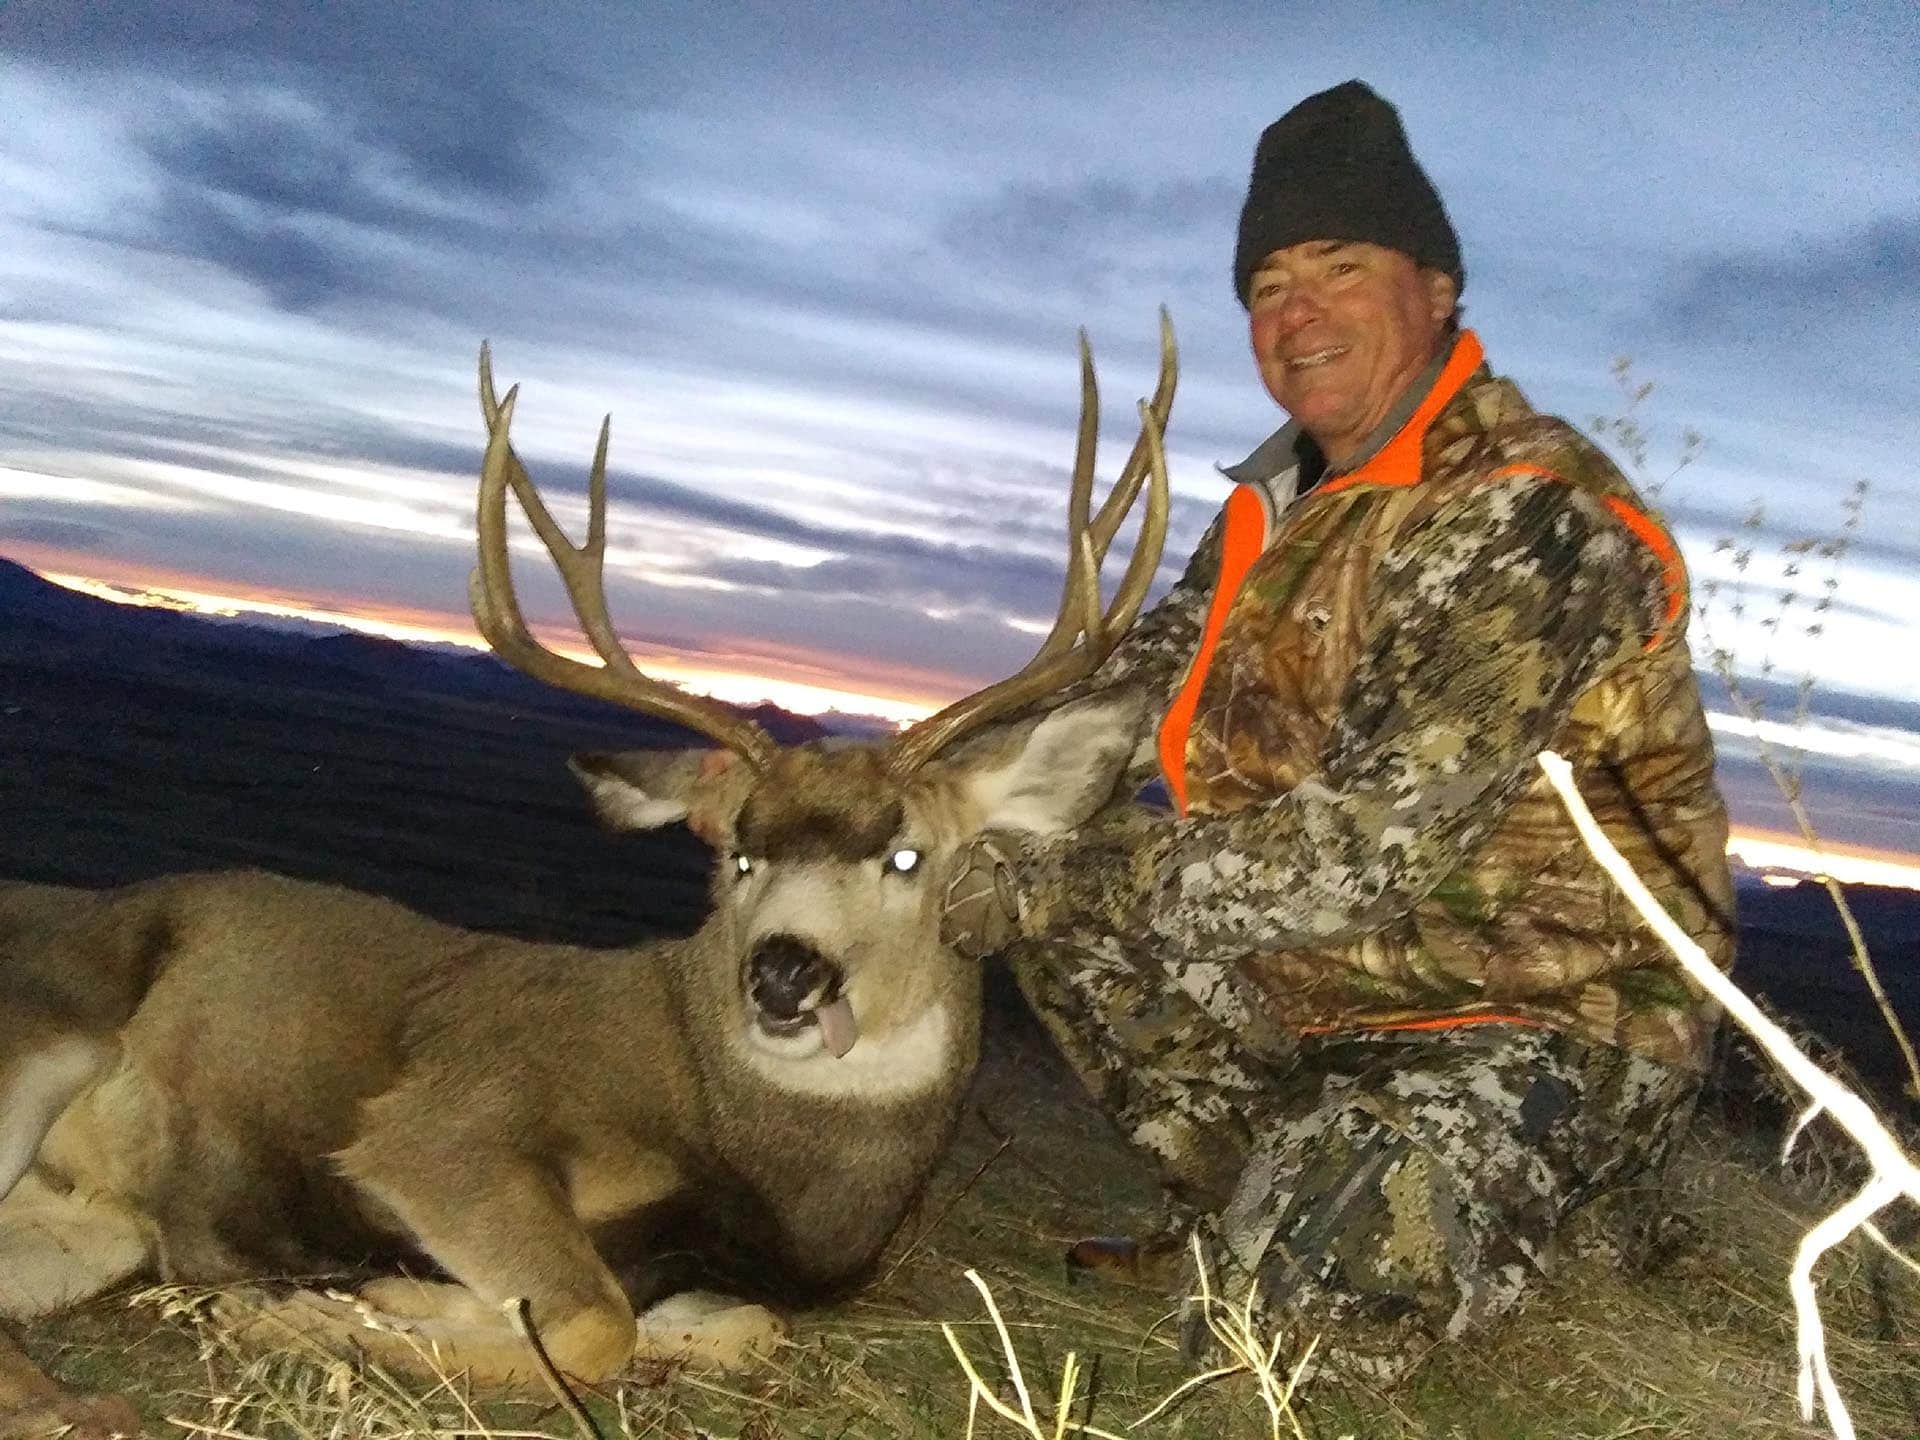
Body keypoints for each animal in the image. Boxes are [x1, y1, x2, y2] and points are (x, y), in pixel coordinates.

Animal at [0, 318, 1175, 1425]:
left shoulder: (725, 1274)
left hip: (85, 1226)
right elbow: (592, 1322)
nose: (784, 974)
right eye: (736, 853)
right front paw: (320, 1311)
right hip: (51, 1029)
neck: (774, 1175)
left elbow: (738, 1329)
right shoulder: (447, 1125)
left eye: (906, 854)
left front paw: (372, 1303)